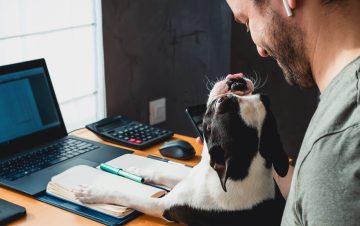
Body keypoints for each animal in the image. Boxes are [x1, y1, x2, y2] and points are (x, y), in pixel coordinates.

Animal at [74, 74, 290, 226]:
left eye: (221, 104)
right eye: (263, 98)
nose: (237, 82)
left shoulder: (161, 205)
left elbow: (125, 195)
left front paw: (92, 191)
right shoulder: (190, 177)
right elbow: (165, 174)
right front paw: (138, 170)